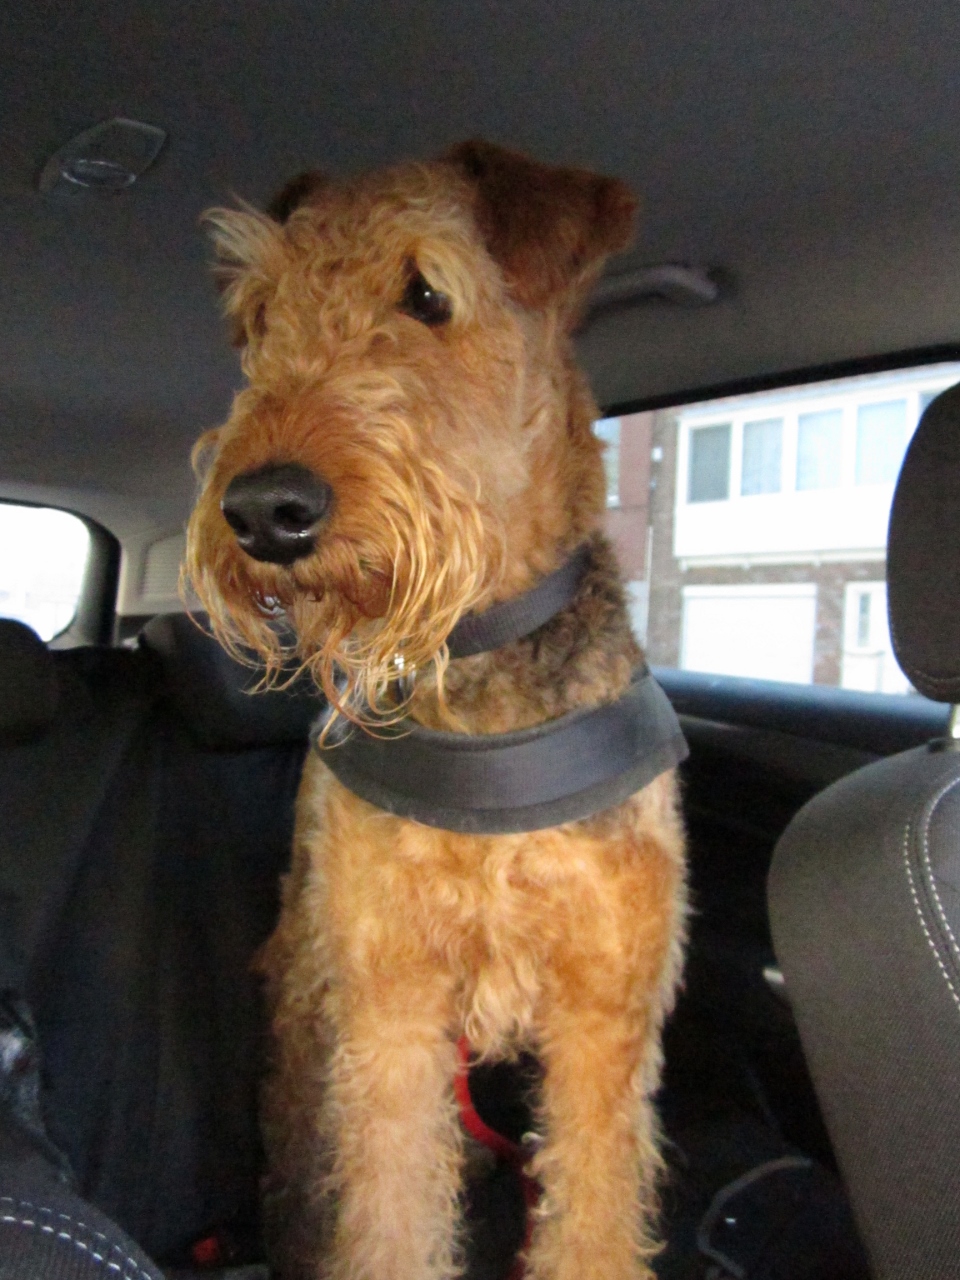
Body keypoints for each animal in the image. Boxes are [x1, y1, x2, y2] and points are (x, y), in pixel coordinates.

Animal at [185, 140, 687, 1280]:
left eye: (426, 294)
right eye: (263, 313)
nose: (265, 511)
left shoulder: (604, 1016)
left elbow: (594, 1214)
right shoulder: (393, 1009)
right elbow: (389, 1215)